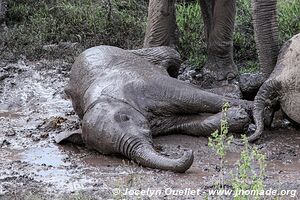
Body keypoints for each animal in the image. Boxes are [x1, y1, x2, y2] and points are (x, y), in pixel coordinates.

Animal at [62, 45, 251, 172]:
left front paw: (247, 110)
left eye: (125, 118)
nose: (188, 152)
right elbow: (192, 124)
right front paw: (240, 117)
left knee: (172, 57)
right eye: (112, 153)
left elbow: (193, 97)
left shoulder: (142, 84)